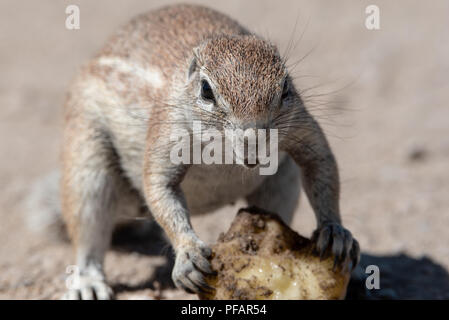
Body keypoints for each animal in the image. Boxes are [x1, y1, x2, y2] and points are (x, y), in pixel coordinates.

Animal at [60, 4, 360, 300]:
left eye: (286, 86)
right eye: (206, 90)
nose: (254, 142)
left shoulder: (301, 126)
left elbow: (320, 164)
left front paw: (334, 231)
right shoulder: (167, 132)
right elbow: (160, 189)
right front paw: (188, 255)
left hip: (282, 179)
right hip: (88, 167)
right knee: (89, 236)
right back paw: (87, 282)